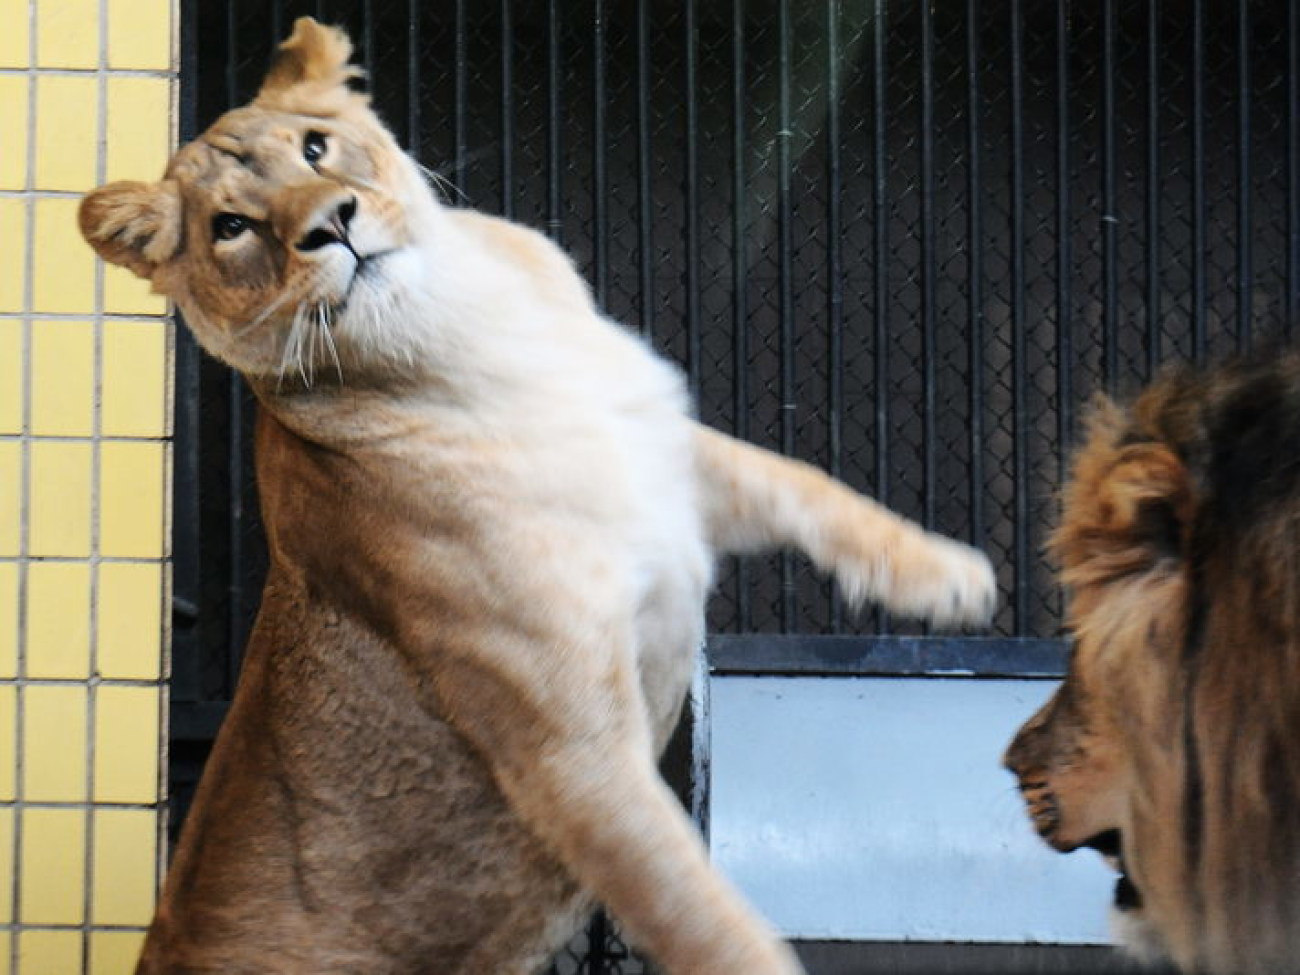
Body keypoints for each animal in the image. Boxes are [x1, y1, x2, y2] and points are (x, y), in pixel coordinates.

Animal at [81, 17, 993, 975]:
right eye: (231, 227)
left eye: (316, 147)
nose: (331, 224)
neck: (471, 327)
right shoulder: (570, 758)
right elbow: (704, 918)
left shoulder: (658, 449)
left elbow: (803, 484)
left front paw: (949, 578)